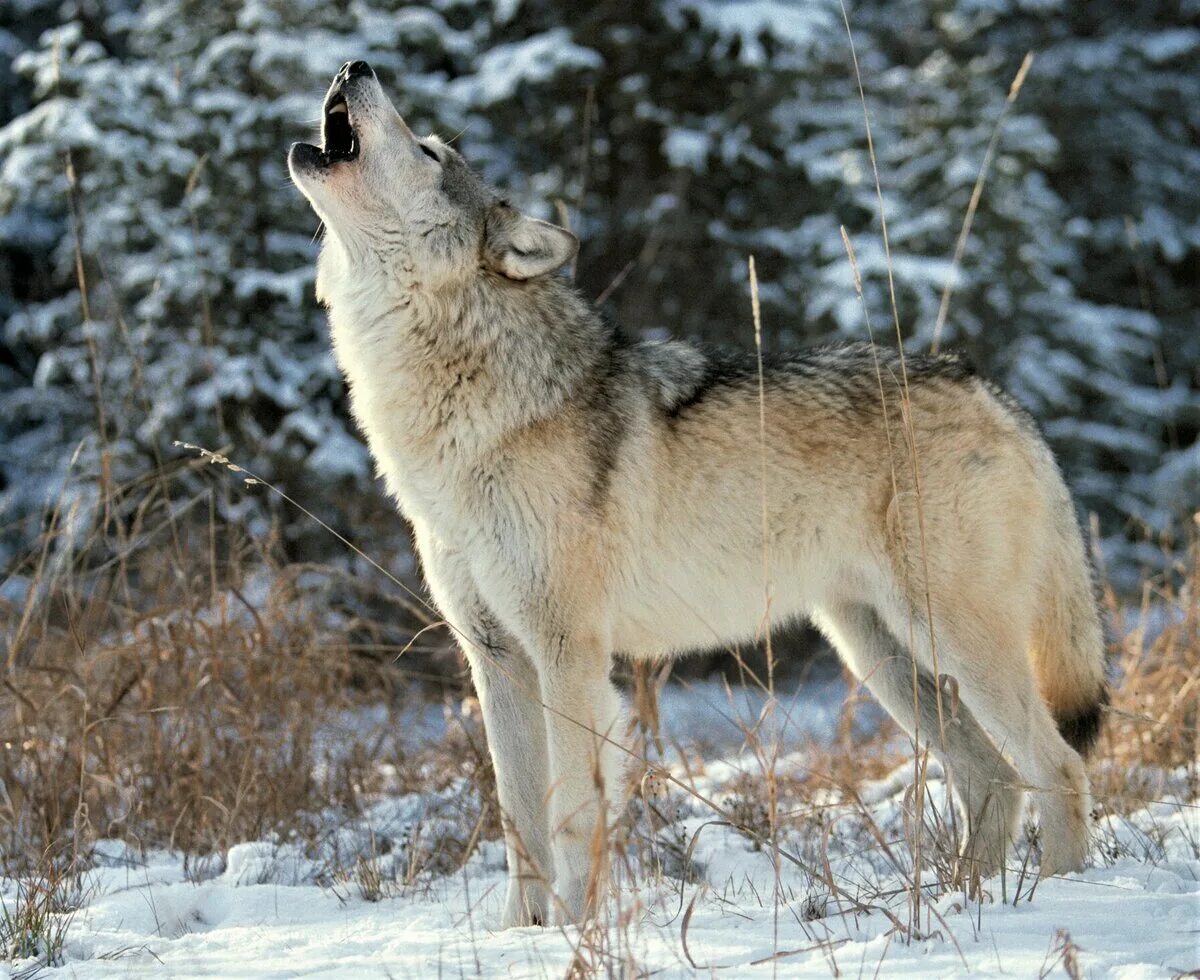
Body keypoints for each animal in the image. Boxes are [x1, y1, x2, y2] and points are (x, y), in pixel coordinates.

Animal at [288, 59, 1104, 926]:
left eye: (431, 152)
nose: (354, 66)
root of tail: (998, 395)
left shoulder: (567, 653)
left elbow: (569, 814)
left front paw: (575, 932)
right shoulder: (497, 658)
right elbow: (518, 825)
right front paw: (521, 934)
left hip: (953, 643)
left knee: (1059, 767)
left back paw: (1063, 901)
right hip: (882, 656)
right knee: (993, 776)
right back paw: (962, 904)